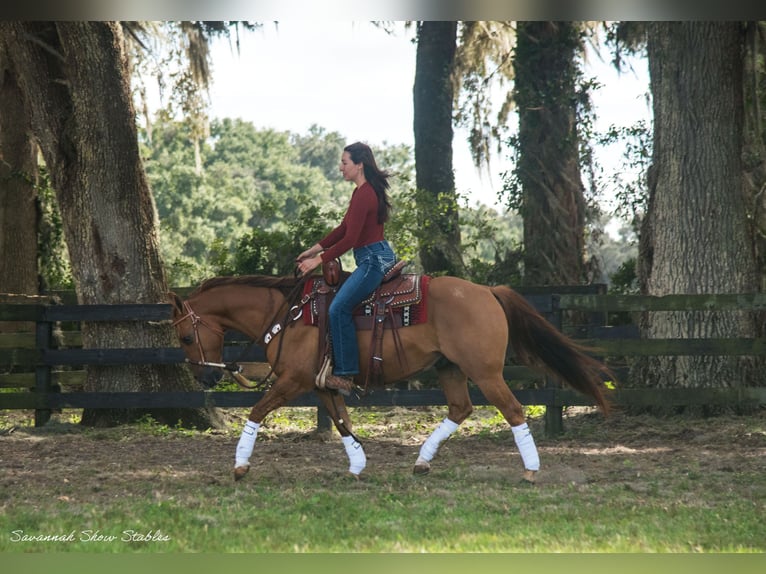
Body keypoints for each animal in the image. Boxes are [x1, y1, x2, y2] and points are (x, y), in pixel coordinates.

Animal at [168, 274, 612, 486]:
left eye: (186, 336)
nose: (205, 377)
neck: (288, 314)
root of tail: (487, 291)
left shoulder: (294, 382)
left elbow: (257, 412)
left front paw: (240, 467)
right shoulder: (323, 385)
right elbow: (343, 422)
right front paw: (357, 466)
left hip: (486, 372)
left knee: (514, 411)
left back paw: (531, 470)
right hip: (449, 368)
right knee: (460, 408)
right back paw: (422, 461)